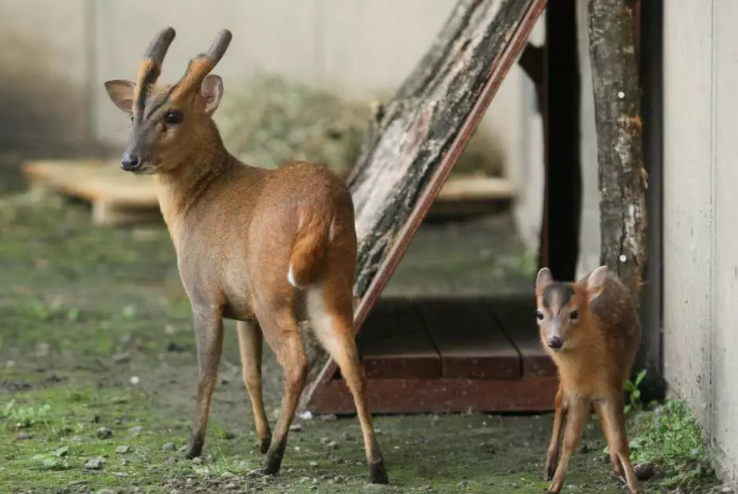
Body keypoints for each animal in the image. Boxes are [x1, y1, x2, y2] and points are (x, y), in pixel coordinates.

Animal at [102, 27, 388, 484]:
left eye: (173, 116)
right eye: (132, 115)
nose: (130, 160)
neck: (195, 204)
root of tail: (320, 210)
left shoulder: (204, 295)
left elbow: (208, 373)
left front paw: (194, 446)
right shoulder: (244, 308)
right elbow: (250, 374)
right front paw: (260, 437)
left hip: (274, 290)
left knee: (297, 364)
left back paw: (274, 461)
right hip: (333, 290)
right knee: (352, 363)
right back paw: (376, 466)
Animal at [535, 266, 643, 494]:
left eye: (574, 313)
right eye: (540, 314)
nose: (554, 341)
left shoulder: (612, 387)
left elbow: (621, 440)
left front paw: (635, 486)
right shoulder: (577, 393)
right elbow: (570, 440)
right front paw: (554, 486)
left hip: (624, 370)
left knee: (599, 414)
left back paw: (616, 467)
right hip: (566, 383)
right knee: (559, 400)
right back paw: (549, 466)